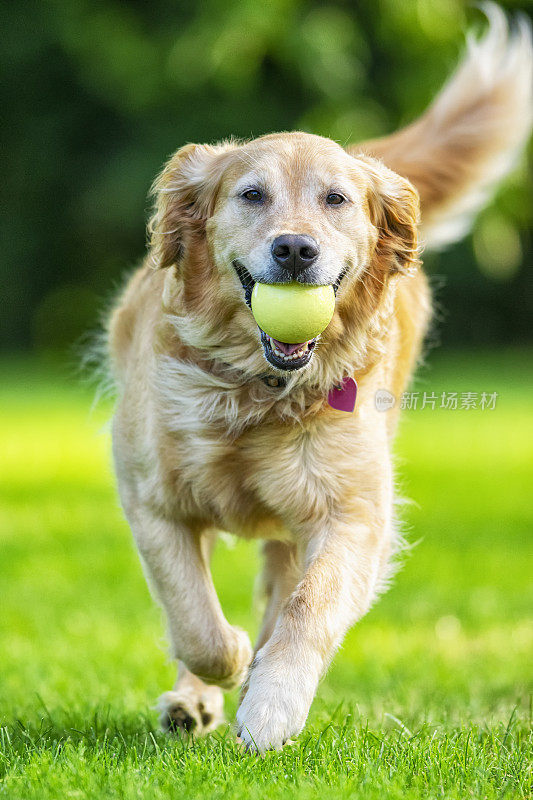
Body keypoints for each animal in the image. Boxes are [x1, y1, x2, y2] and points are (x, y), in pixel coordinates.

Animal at [106, 7, 528, 752]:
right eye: (251, 194)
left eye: (335, 199)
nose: (295, 248)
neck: (257, 389)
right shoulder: (153, 500)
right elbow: (195, 620)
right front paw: (230, 665)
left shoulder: (352, 514)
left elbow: (308, 608)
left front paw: (270, 704)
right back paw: (195, 700)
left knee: (283, 590)